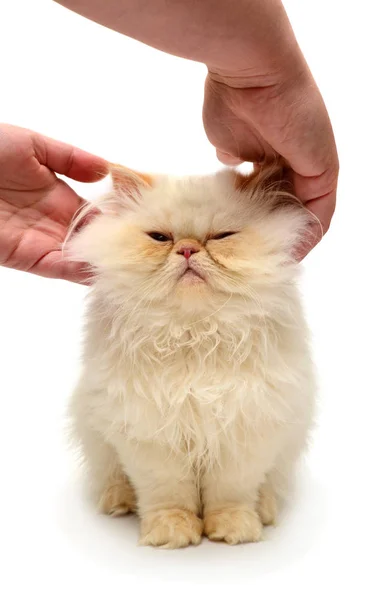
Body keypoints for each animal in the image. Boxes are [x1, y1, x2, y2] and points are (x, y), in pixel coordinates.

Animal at [68, 159, 316, 548]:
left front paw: (233, 531)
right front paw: (172, 534)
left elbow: (230, 494)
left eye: (222, 237)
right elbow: (169, 495)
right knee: (113, 480)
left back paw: (265, 511)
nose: (186, 250)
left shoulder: (244, 429)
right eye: (159, 238)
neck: (194, 333)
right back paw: (119, 503)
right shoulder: (150, 435)